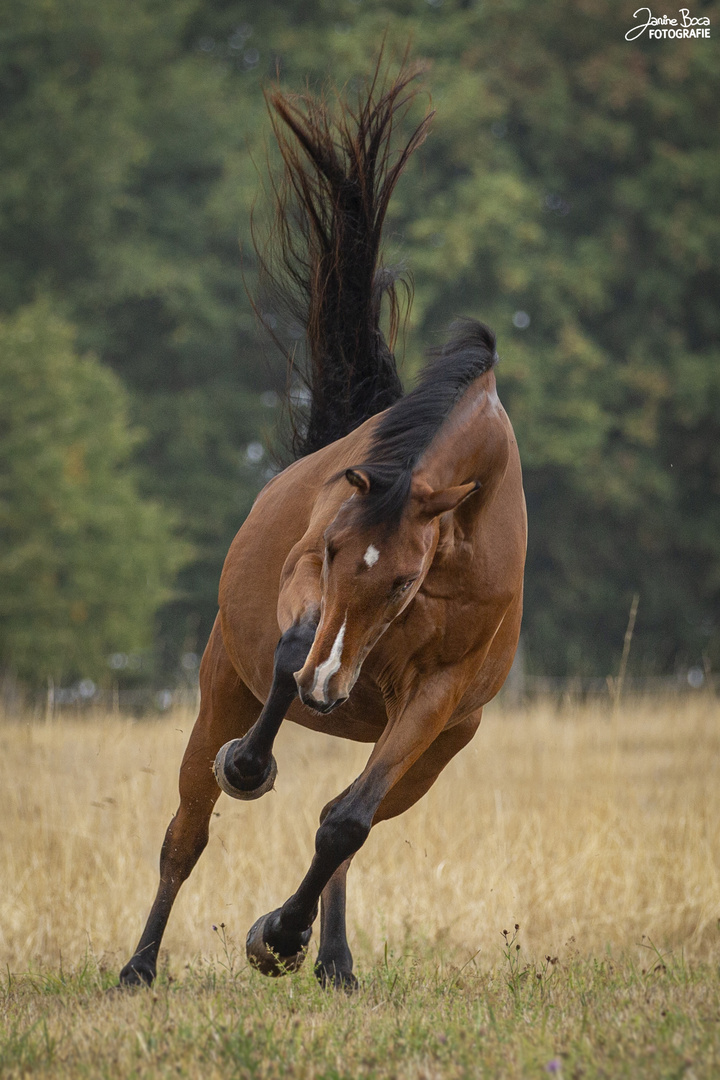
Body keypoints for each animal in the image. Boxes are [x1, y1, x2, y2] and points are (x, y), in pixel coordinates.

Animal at [117, 59, 524, 989]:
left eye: (407, 580)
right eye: (337, 549)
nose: (329, 689)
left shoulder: (435, 698)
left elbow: (344, 823)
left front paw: (278, 937)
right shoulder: (303, 580)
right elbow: (293, 647)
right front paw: (251, 765)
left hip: (425, 751)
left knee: (348, 819)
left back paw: (328, 956)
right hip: (216, 691)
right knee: (185, 835)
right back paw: (139, 966)